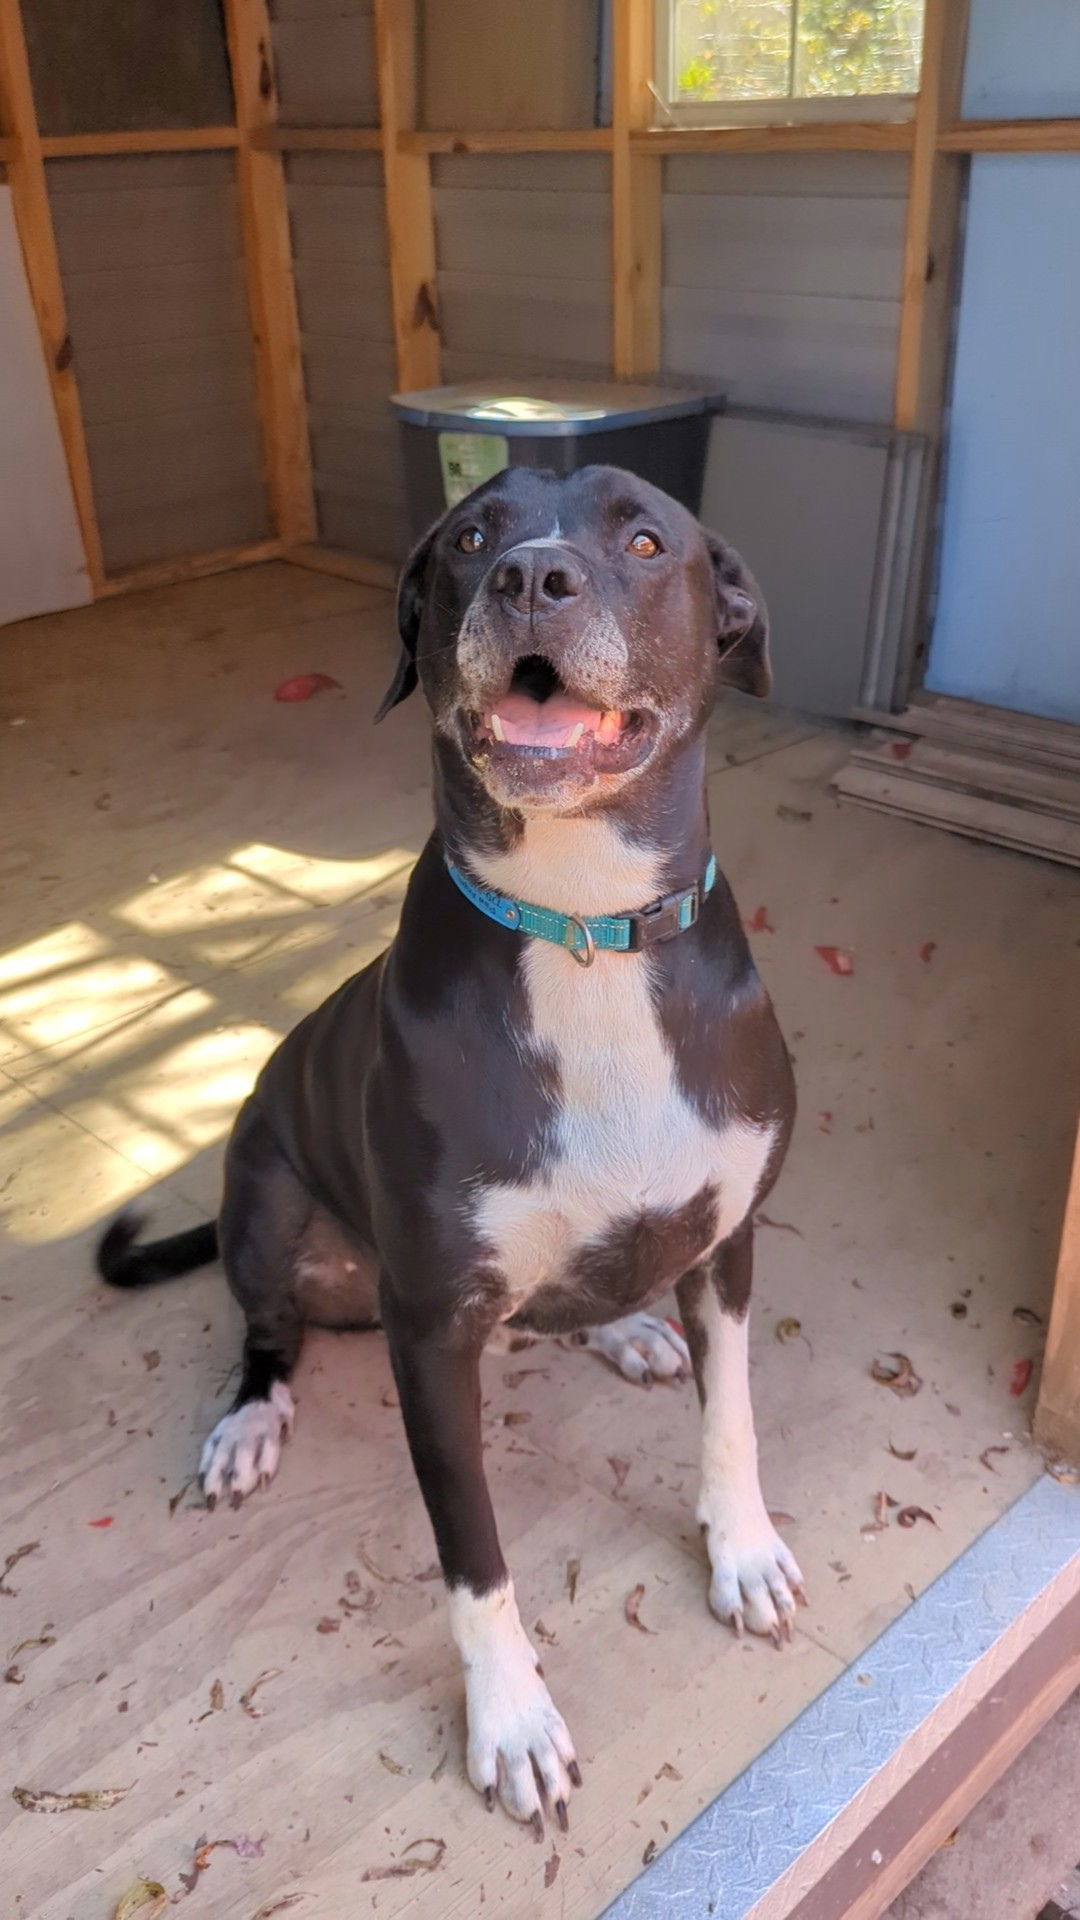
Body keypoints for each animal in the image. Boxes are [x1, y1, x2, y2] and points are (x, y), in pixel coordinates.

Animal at [98, 464, 799, 1827]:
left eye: (646, 538)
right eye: (471, 534)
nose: (532, 576)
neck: (581, 927)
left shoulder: (727, 1241)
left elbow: (732, 1419)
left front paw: (741, 1553)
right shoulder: (429, 1333)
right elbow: (475, 1560)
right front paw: (512, 1719)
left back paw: (626, 1331)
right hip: (264, 1187)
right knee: (268, 1331)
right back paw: (250, 1422)